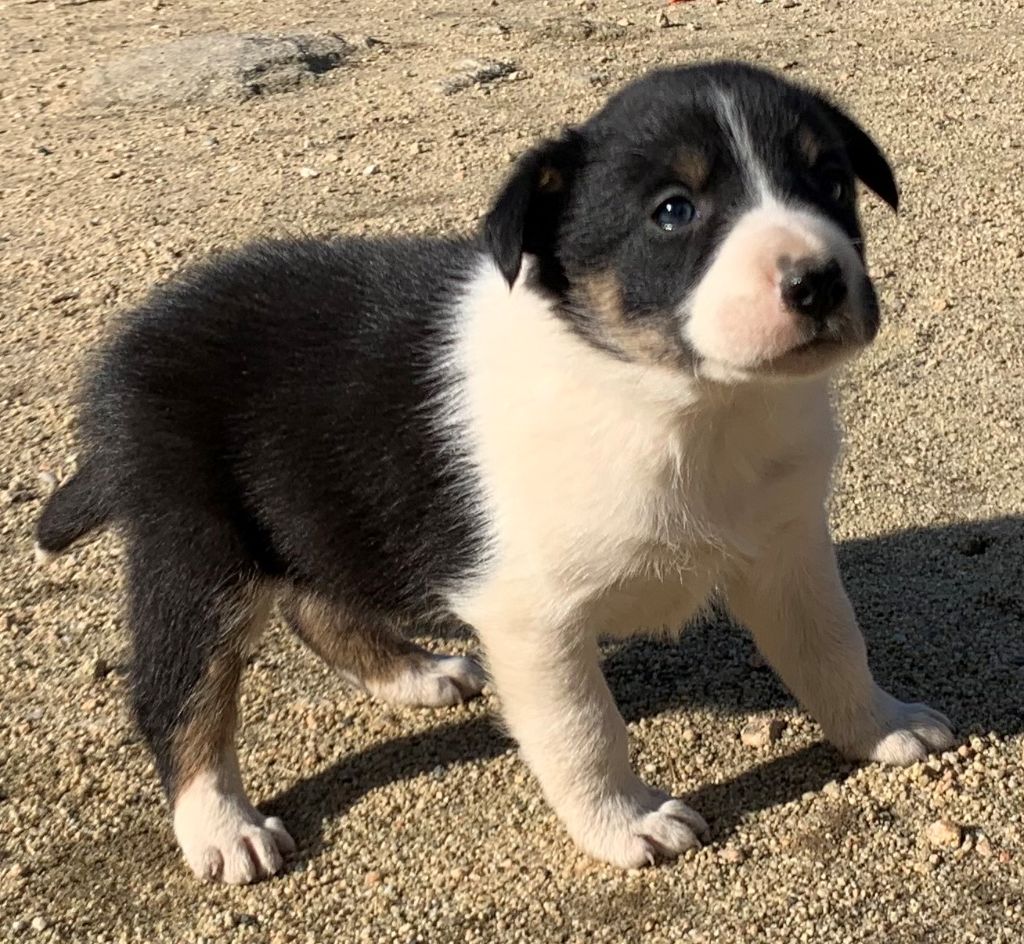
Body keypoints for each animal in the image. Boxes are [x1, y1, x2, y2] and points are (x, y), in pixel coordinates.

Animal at [37, 62, 950, 880]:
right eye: (673, 212)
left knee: (315, 601)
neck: (680, 402)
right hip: (198, 550)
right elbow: (584, 730)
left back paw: (413, 673)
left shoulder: (787, 549)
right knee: (179, 693)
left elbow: (832, 648)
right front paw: (627, 823)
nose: (818, 279)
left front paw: (882, 725)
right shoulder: (533, 618)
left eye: (829, 182)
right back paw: (223, 828)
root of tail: (137, 340)